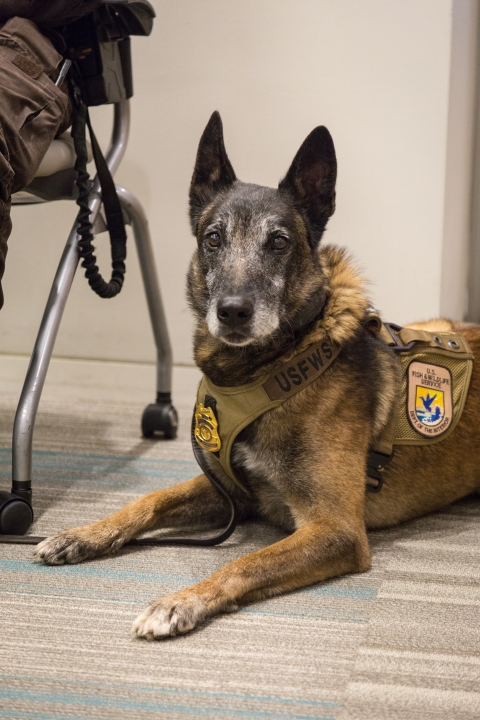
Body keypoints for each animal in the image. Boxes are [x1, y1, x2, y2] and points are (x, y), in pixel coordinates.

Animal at [34, 114, 480, 640]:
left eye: (279, 241)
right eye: (212, 238)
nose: (232, 312)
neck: (276, 366)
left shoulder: (336, 529)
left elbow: (245, 562)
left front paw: (180, 601)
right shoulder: (234, 492)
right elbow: (150, 497)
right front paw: (83, 534)